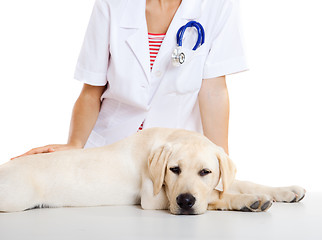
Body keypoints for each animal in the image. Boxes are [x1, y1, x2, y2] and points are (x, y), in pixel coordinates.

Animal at [0, 128, 306, 215]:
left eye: (205, 172)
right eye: (174, 169)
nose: (185, 202)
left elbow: (239, 182)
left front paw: (286, 191)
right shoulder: (154, 198)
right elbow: (218, 197)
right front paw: (247, 201)